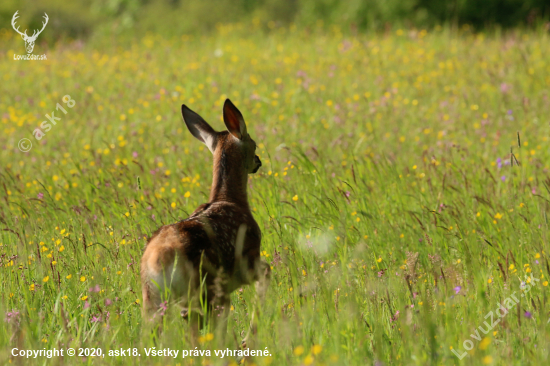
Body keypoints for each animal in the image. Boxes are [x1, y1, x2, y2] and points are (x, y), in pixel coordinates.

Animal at [142, 98, 272, 338]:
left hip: (152, 298)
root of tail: (158, 261)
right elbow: (267, 271)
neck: (231, 199)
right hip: (203, 288)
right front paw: (249, 337)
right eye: (255, 144)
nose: (258, 161)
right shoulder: (248, 260)